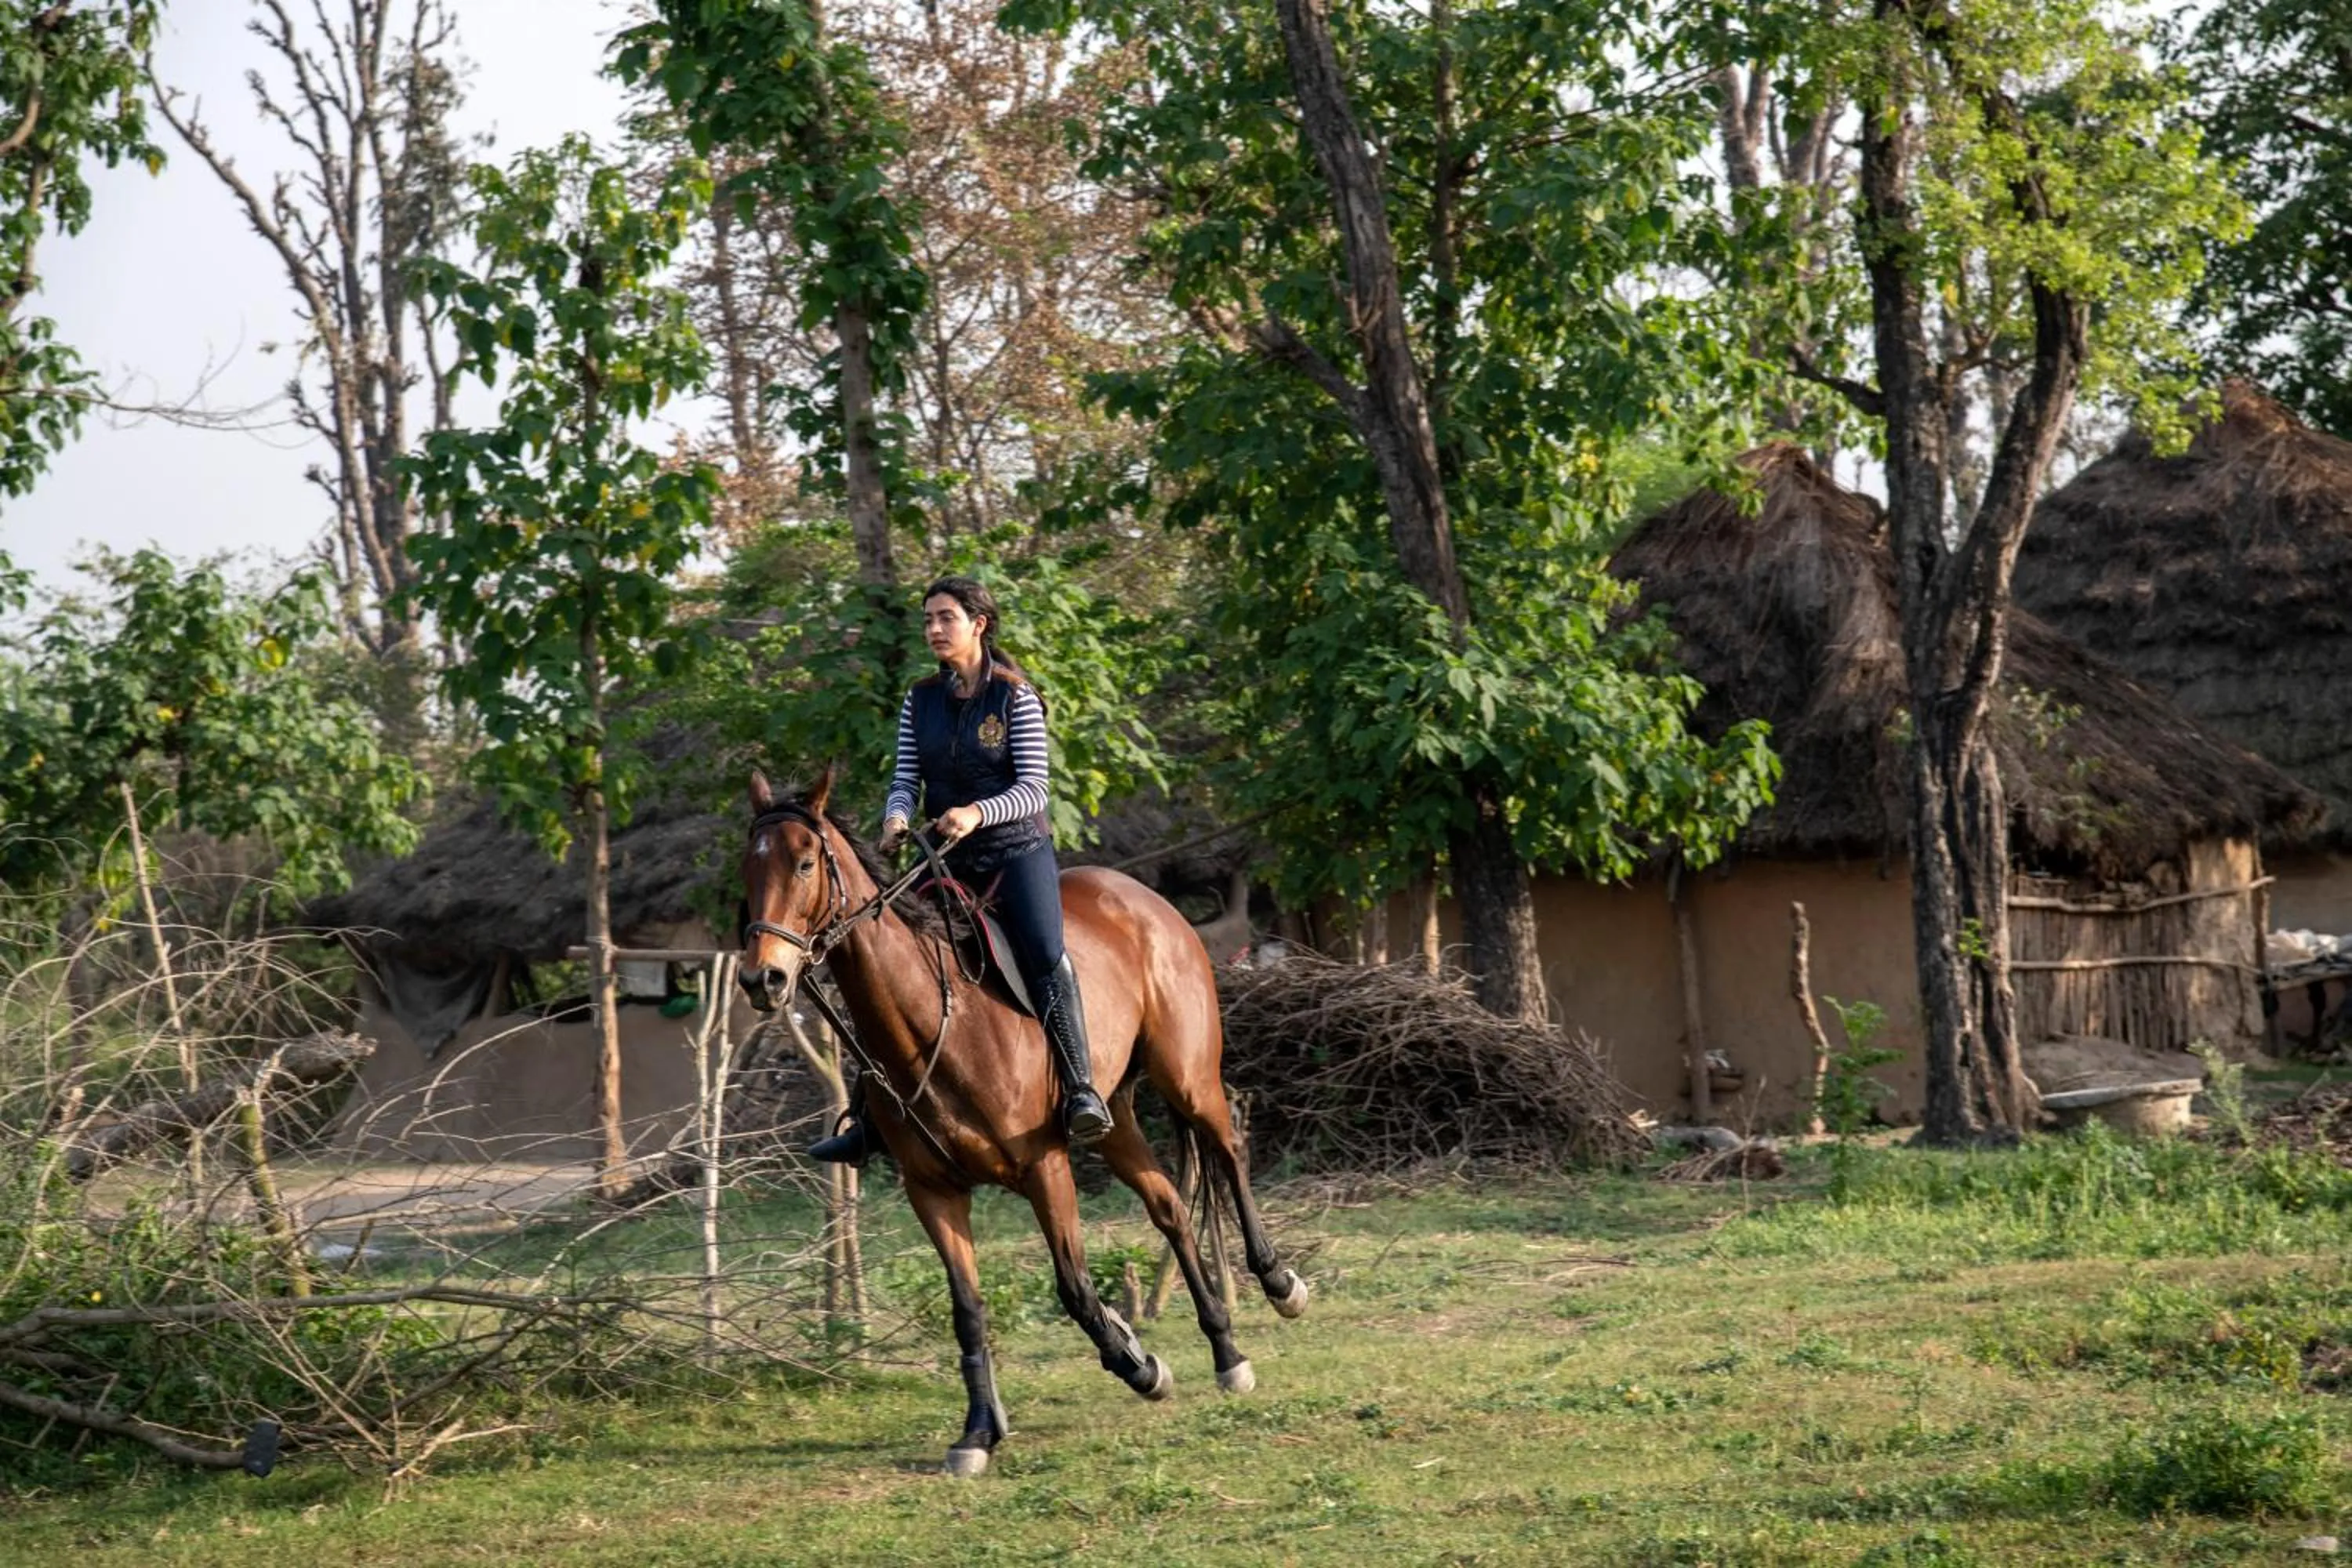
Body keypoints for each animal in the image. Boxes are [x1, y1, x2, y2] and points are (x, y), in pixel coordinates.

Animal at [735, 767, 1308, 1476]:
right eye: (749, 868)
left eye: (806, 863)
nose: (763, 978)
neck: (938, 1024)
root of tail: (1149, 901)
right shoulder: (933, 1191)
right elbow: (968, 1310)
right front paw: (979, 1431)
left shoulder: (1045, 1168)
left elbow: (1076, 1289)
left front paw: (1140, 1364)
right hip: (1117, 1119)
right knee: (1171, 1206)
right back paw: (1227, 1352)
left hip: (1188, 1077)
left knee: (1228, 1150)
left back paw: (1280, 1284)